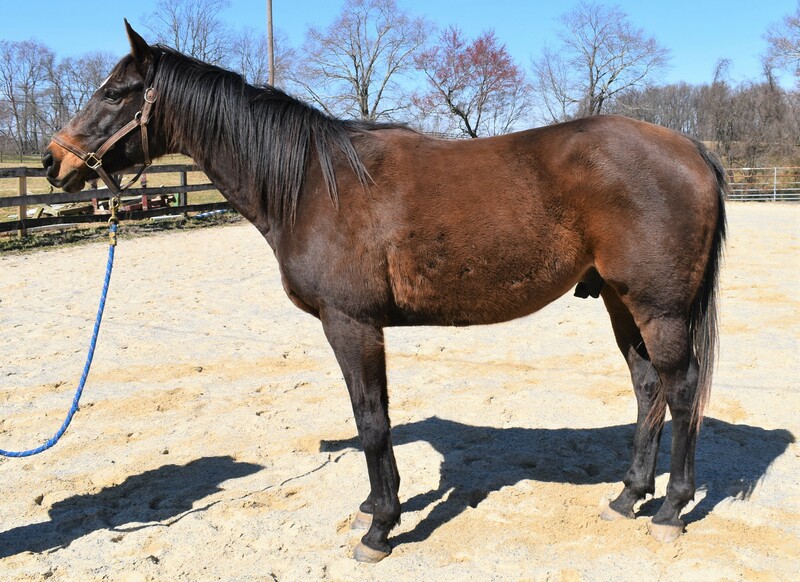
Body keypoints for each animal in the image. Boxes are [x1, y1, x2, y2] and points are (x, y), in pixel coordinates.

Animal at [45, 22, 732, 564]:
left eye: (114, 92)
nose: (55, 162)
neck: (315, 183)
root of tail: (692, 149)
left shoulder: (351, 323)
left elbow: (373, 421)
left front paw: (379, 529)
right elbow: (370, 418)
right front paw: (376, 506)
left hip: (660, 308)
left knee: (682, 391)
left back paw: (671, 510)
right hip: (621, 301)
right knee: (647, 387)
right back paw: (627, 496)